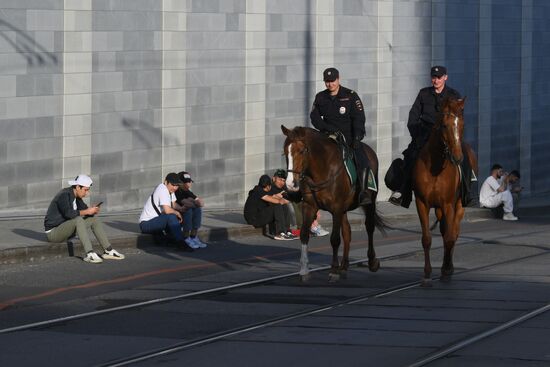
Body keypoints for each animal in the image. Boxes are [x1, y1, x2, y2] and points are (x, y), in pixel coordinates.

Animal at [284, 125, 384, 284]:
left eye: (302, 151)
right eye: (285, 152)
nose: (290, 184)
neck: (322, 169)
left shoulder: (336, 208)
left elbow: (335, 239)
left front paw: (333, 271)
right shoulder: (309, 207)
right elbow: (304, 234)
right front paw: (304, 270)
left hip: (370, 202)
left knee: (369, 227)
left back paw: (372, 262)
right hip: (343, 210)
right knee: (347, 232)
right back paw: (344, 266)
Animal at [414, 96, 478, 286]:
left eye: (462, 123)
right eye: (444, 125)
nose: (457, 157)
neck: (435, 166)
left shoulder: (449, 204)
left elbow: (450, 237)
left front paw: (447, 269)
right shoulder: (421, 203)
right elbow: (427, 239)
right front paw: (427, 274)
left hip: (459, 205)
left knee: (453, 233)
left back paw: (448, 267)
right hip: (439, 208)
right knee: (444, 231)